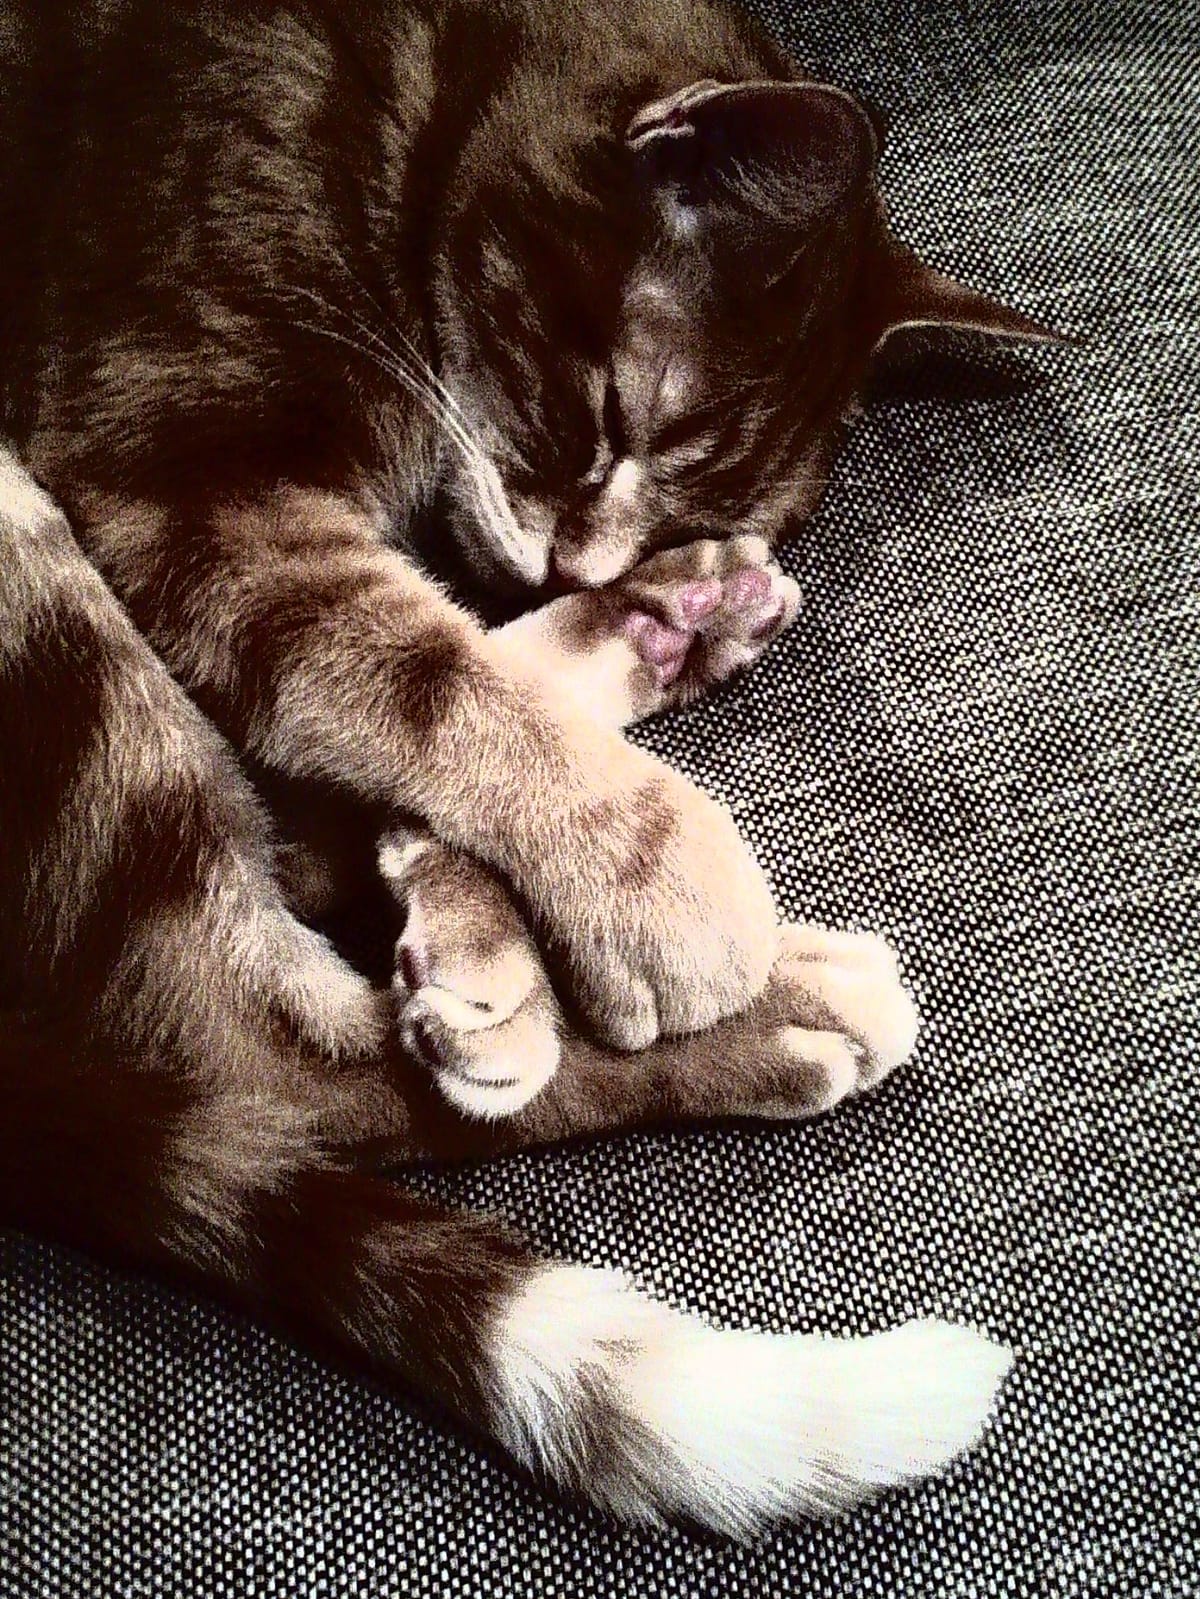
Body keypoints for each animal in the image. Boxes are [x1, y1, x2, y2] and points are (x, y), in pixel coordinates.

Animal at [0, 3, 1049, 1547]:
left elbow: (395, 707)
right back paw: (780, 1008)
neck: (393, 118)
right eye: (610, 416)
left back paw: (659, 638)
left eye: (694, 488)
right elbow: (410, 668)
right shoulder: (178, 470)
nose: (589, 563)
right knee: (257, 1047)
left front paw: (481, 911)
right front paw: (662, 881)